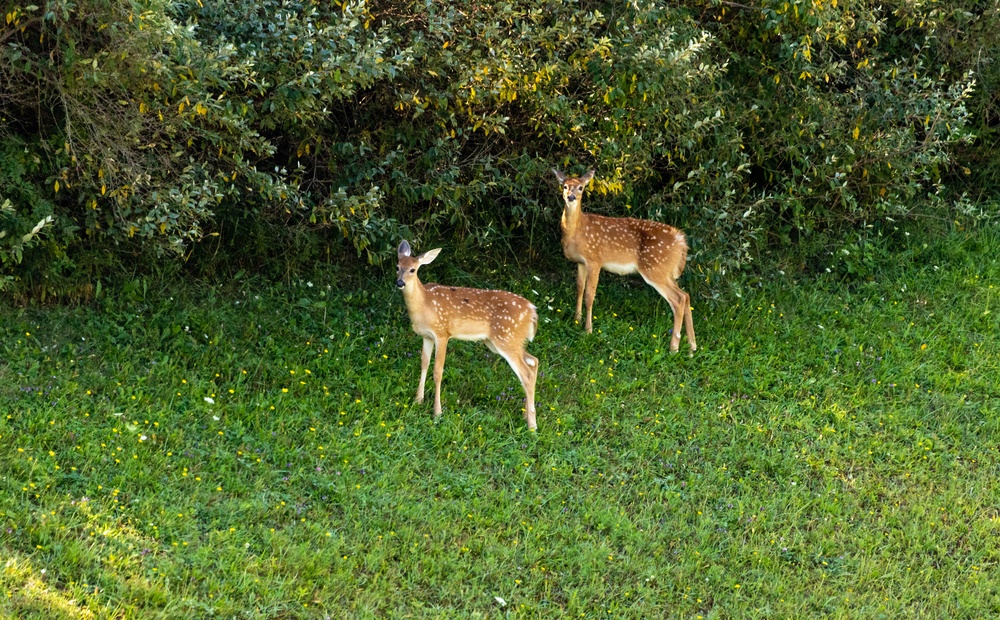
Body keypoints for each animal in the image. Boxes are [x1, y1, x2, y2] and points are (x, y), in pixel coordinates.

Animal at [396, 240, 544, 428]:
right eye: (397, 266)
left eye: (413, 270)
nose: (400, 283)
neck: (424, 304)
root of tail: (532, 311)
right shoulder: (427, 336)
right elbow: (424, 364)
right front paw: (418, 400)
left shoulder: (442, 332)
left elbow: (438, 371)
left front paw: (437, 412)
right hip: (502, 341)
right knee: (533, 361)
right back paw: (526, 416)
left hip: (506, 338)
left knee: (526, 373)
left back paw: (532, 426)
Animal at [556, 170, 696, 354]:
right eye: (564, 186)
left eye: (581, 187)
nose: (570, 197)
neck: (577, 231)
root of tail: (682, 242)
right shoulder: (580, 262)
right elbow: (579, 288)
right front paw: (576, 320)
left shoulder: (595, 260)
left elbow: (589, 295)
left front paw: (588, 330)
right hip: (664, 272)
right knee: (685, 295)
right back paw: (692, 347)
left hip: (655, 269)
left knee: (679, 299)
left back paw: (674, 348)